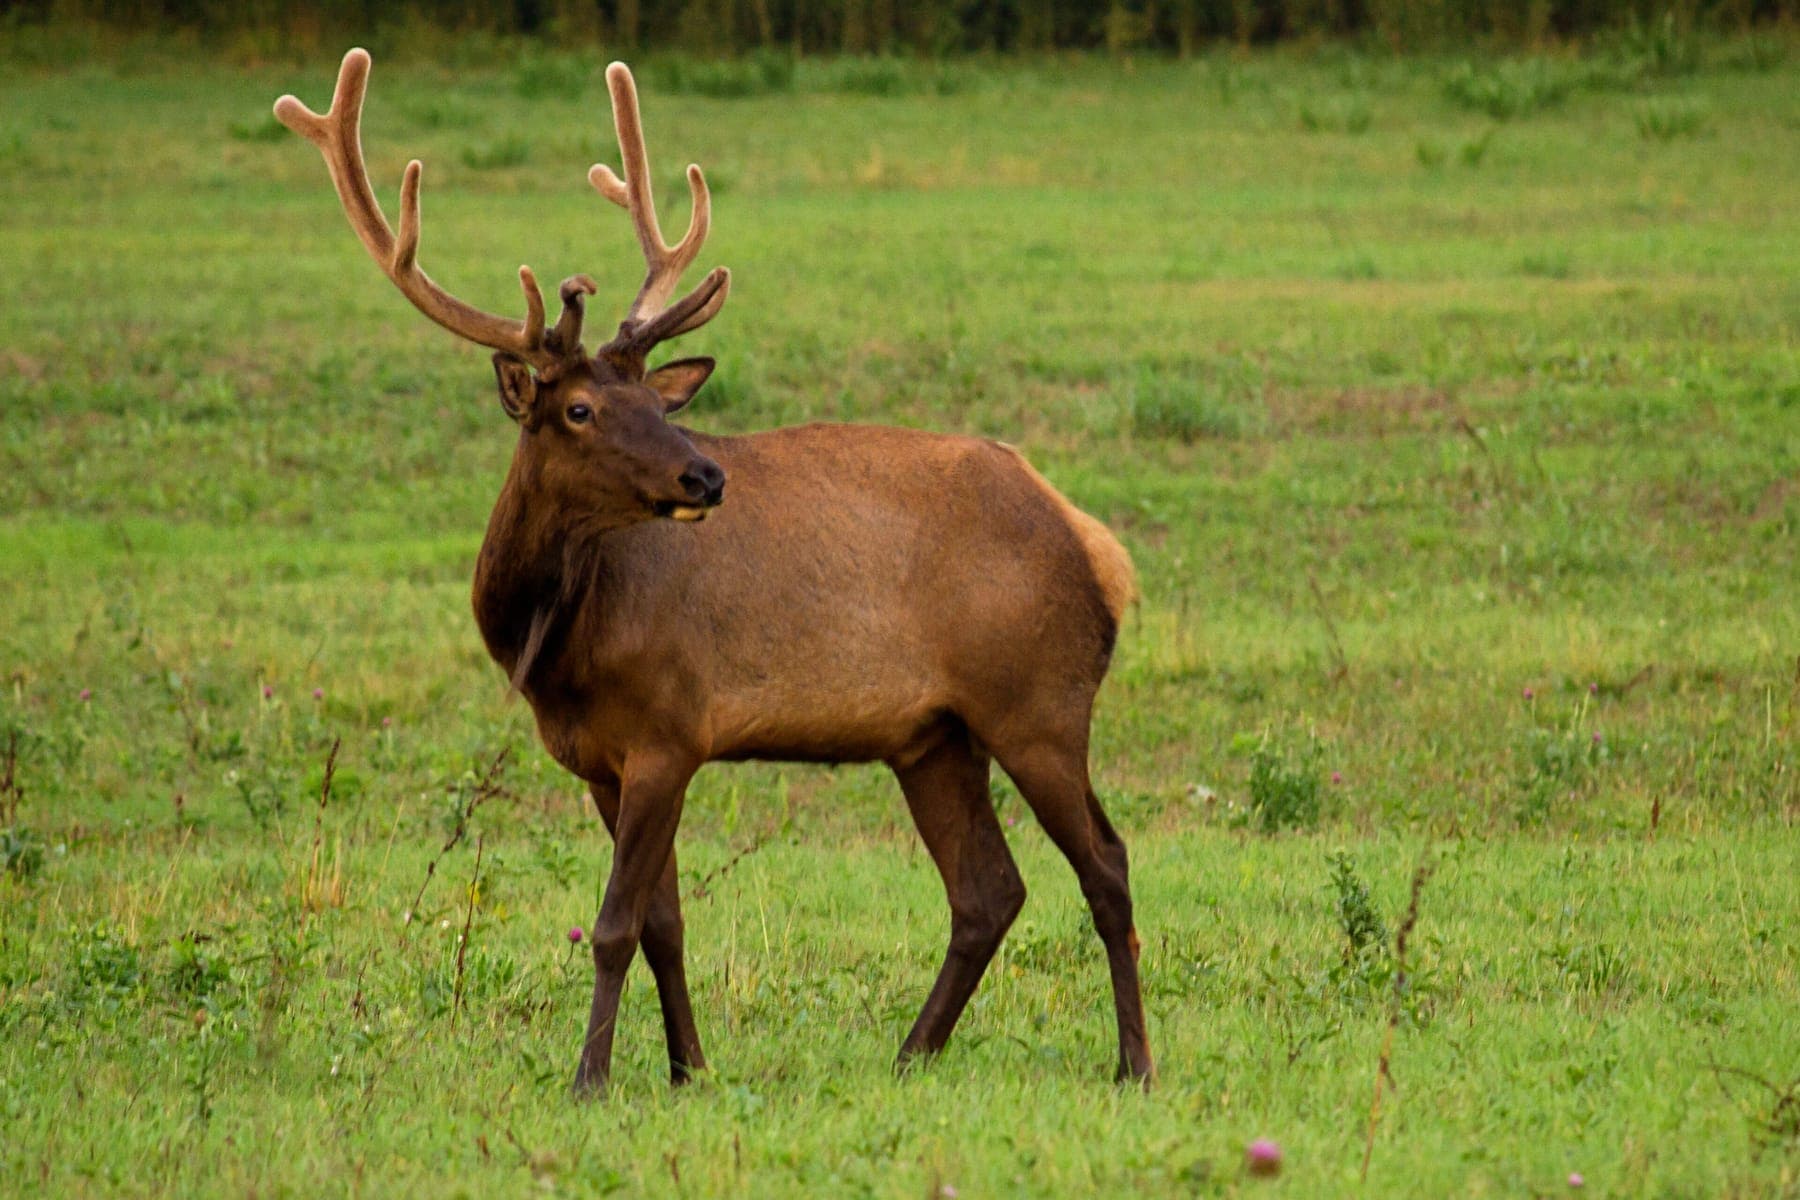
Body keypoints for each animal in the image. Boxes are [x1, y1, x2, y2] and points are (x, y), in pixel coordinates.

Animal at [274, 49, 1152, 1093]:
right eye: (578, 410)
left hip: (1038, 700)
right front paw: (687, 1069)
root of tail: (1098, 546)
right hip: (934, 736)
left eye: (656, 401)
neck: (557, 645)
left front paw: (591, 1078)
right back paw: (909, 1054)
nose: (705, 473)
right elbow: (664, 922)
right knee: (989, 889)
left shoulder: (672, 727)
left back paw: (1133, 1065)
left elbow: (614, 924)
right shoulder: (601, 760)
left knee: (1106, 863)